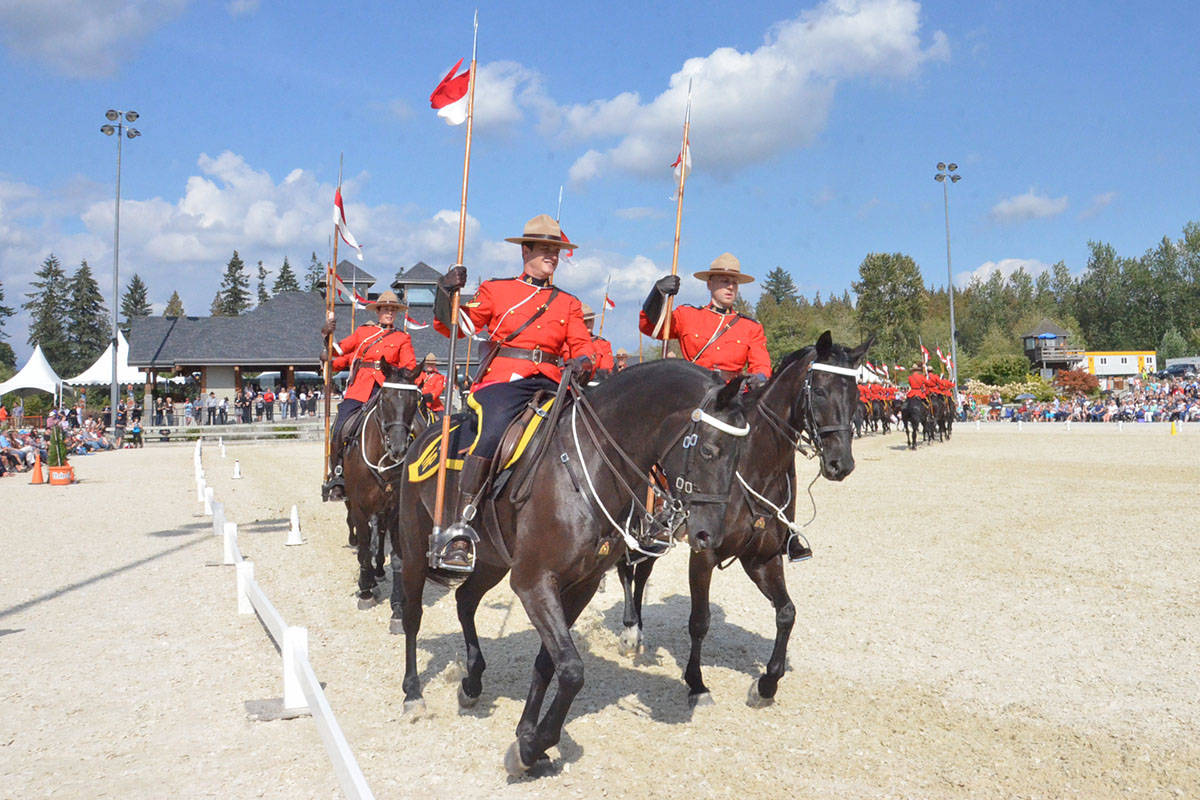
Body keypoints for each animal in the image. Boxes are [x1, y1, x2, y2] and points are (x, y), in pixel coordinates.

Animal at [340, 359, 424, 609]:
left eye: (414, 401)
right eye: (385, 398)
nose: (398, 448)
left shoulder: (396, 509)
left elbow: (397, 556)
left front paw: (398, 602)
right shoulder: (359, 507)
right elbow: (364, 546)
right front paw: (365, 590)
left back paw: (377, 571)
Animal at [391, 362, 748, 777]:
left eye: (740, 455)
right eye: (708, 450)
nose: (709, 535)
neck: (588, 466)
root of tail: (424, 435)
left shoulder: (582, 584)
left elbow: (552, 662)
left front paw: (527, 735)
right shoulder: (534, 582)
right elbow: (573, 669)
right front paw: (531, 748)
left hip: (493, 559)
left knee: (465, 599)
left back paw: (472, 681)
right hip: (414, 546)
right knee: (413, 616)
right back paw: (413, 694)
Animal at [614, 331, 868, 705]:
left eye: (855, 394)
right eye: (820, 390)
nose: (841, 464)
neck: (755, 464)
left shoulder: (762, 556)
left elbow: (787, 613)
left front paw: (767, 683)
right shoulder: (704, 553)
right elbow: (700, 620)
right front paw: (696, 683)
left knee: (642, 572)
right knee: (626, 569)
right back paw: (631, 631)